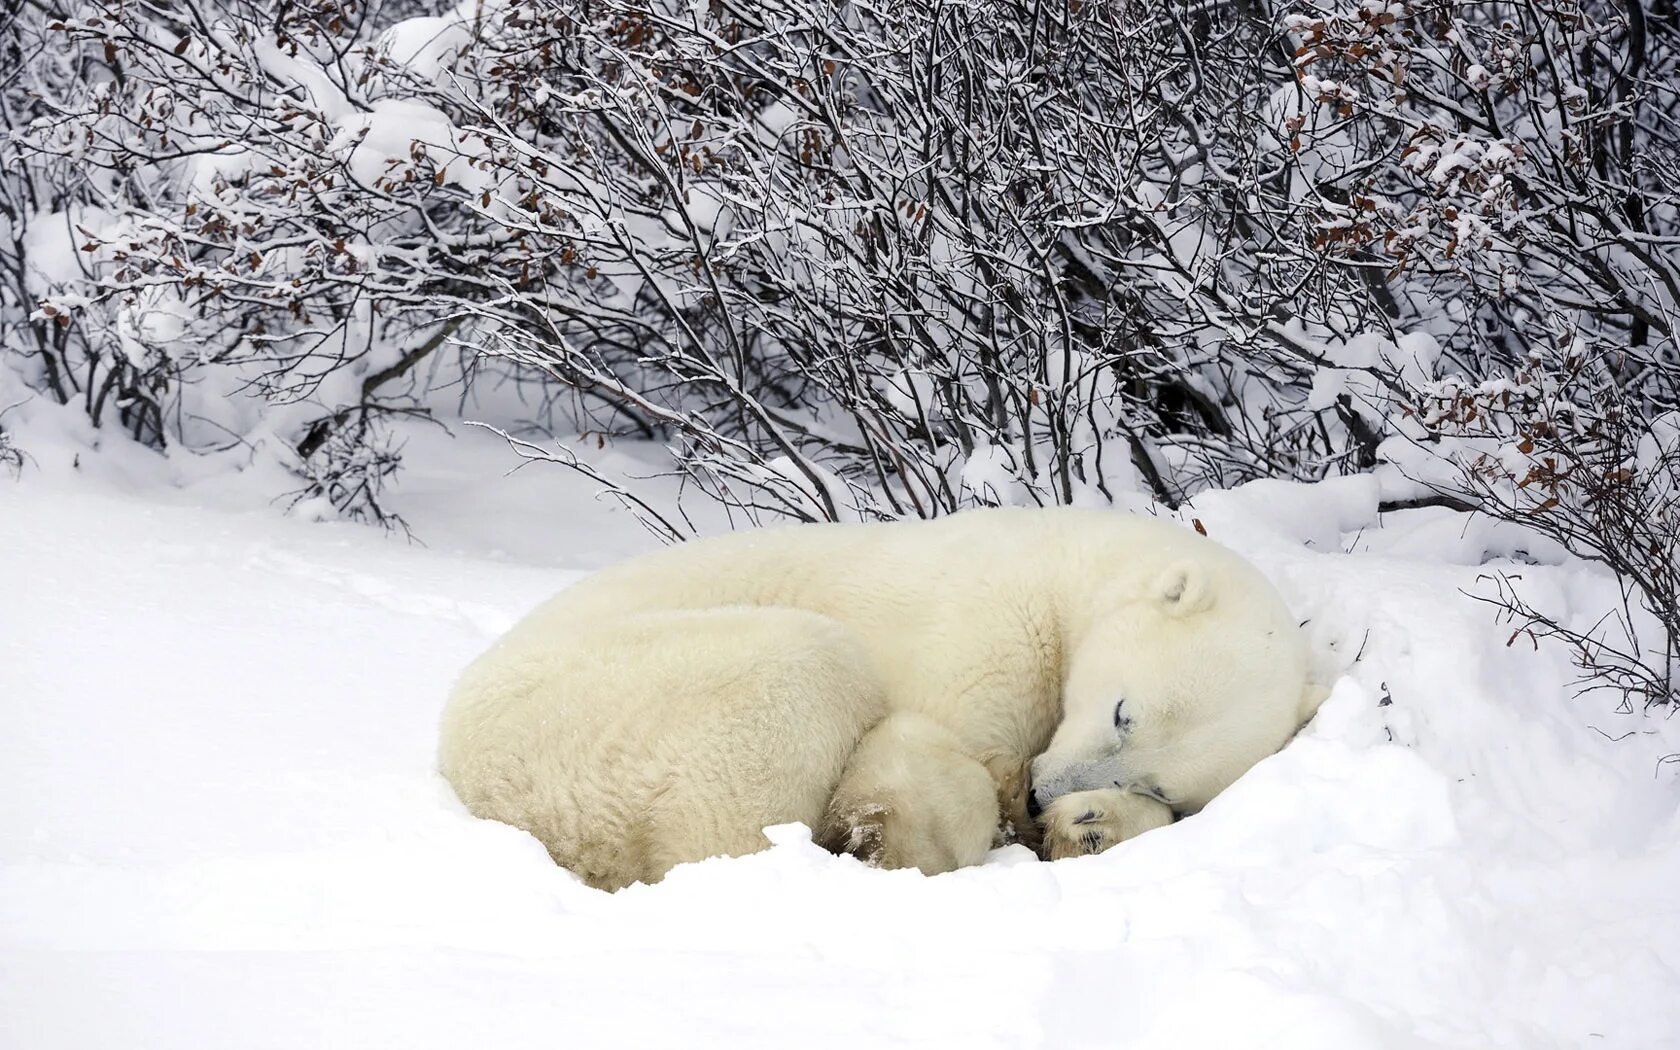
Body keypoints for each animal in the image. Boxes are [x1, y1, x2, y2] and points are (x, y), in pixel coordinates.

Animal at [436, 507, 1323, 887]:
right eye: (1121, 711)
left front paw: (1091, 826)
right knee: (799, 675)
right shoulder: (989, 622)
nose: (1044, 795)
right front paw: (901, 835)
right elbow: (930, 745)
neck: (1067, 567)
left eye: (1159, 782)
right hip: (598, 707)